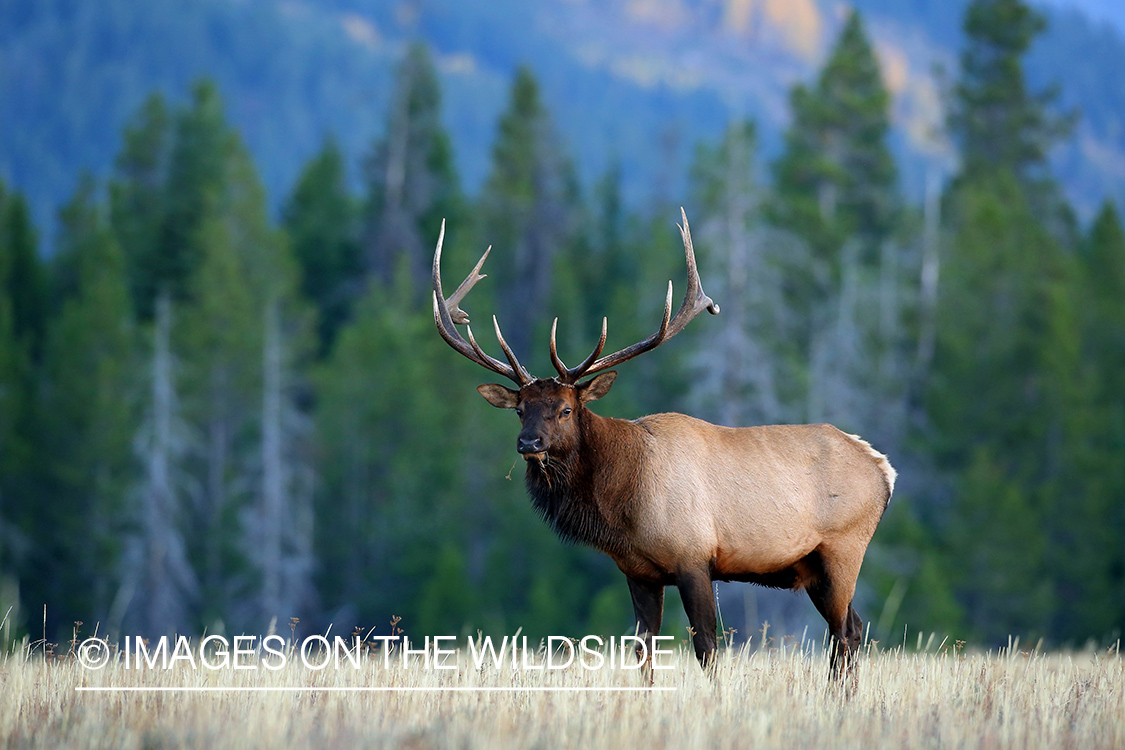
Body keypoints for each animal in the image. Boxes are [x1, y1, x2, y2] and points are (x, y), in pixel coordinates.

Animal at [429, 211, 895, 679]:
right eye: (520, 409)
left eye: (565, 409)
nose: (529, 443)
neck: (621, 506)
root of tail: (884, 469)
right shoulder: (639, 571)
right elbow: (643, 648)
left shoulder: (694, 556)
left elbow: (706, 645)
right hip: (814, 566)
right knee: (852, 628)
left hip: (843, 548)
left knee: (844, 631)